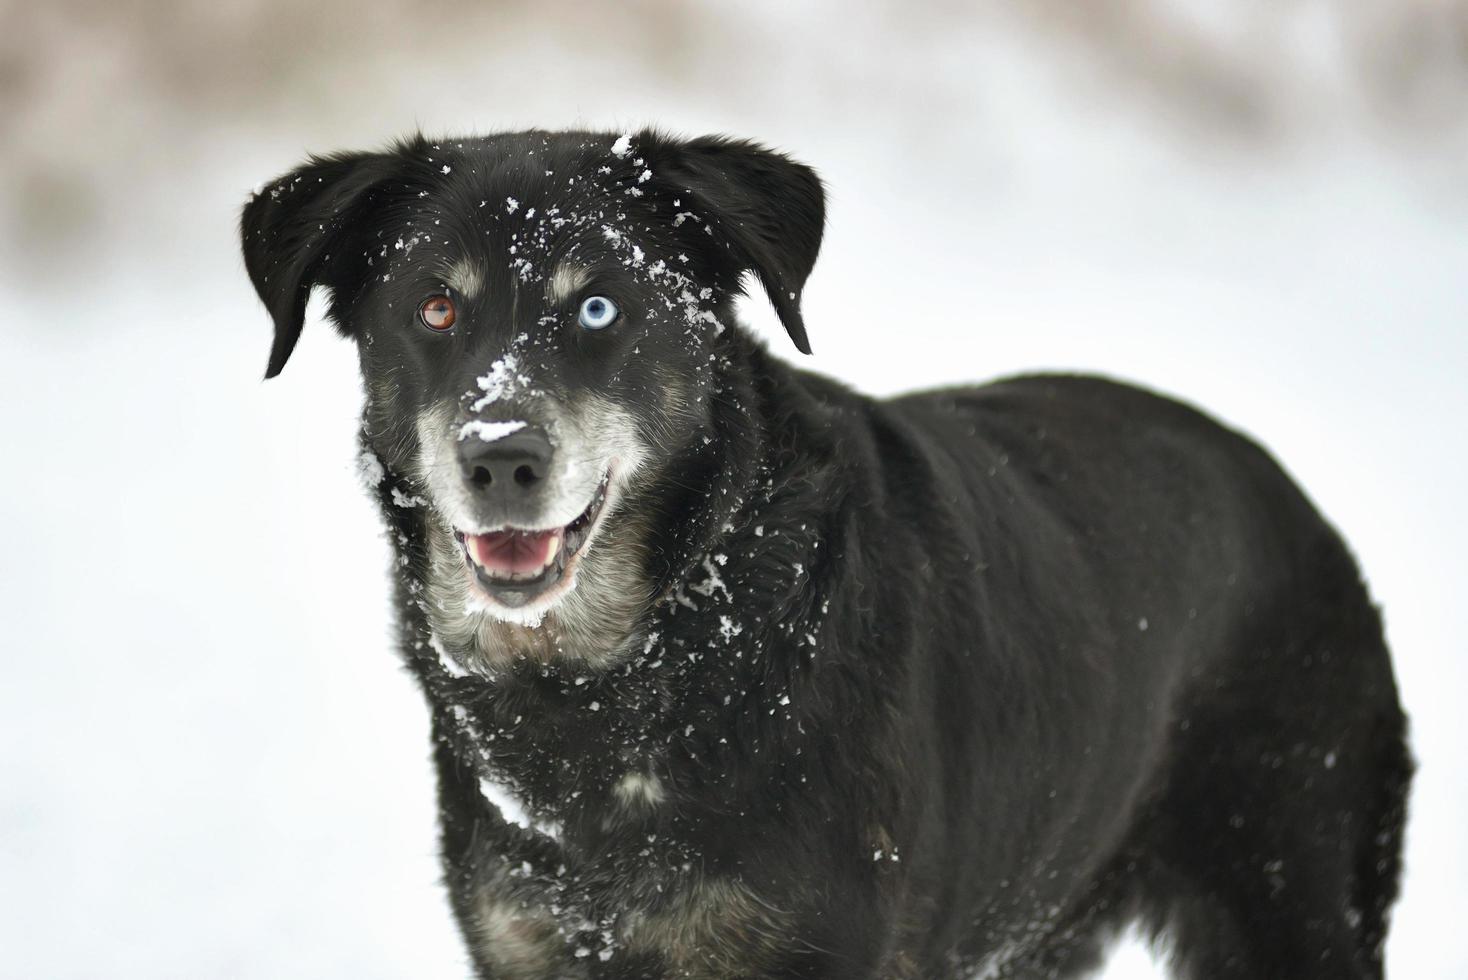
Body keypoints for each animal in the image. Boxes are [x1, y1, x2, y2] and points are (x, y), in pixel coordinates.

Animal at [237, 132, 1409, 979]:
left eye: (600, 304)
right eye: (435, 307)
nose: (500, 457)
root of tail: (1302, 510)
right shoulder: (527, 945)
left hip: (1291, 892)